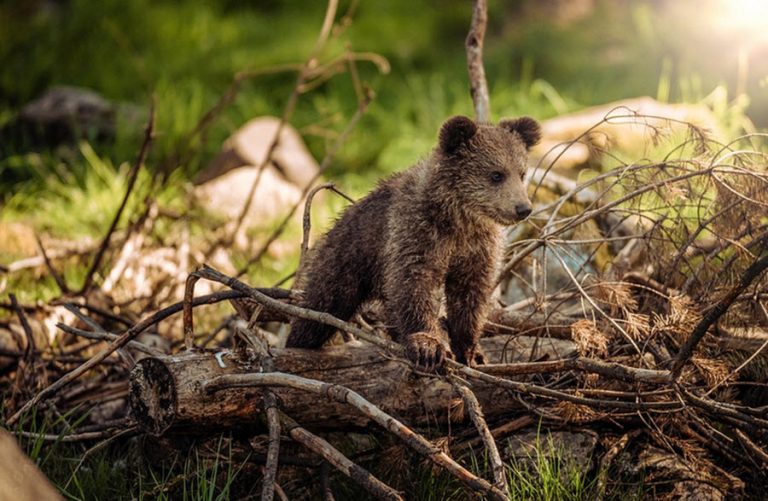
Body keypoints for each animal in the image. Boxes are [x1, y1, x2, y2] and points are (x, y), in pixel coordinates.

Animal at [286, 115, 541, 371]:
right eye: (496, 174)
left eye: (522, 173)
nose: (523, 208)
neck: (458, 219)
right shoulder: (417, 233)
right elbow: (414, 284)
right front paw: (427, 346)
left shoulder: (476, 248)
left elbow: (470, 295)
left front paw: (471, 352)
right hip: (346, 260)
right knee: (320, 308)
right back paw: (297, 342)